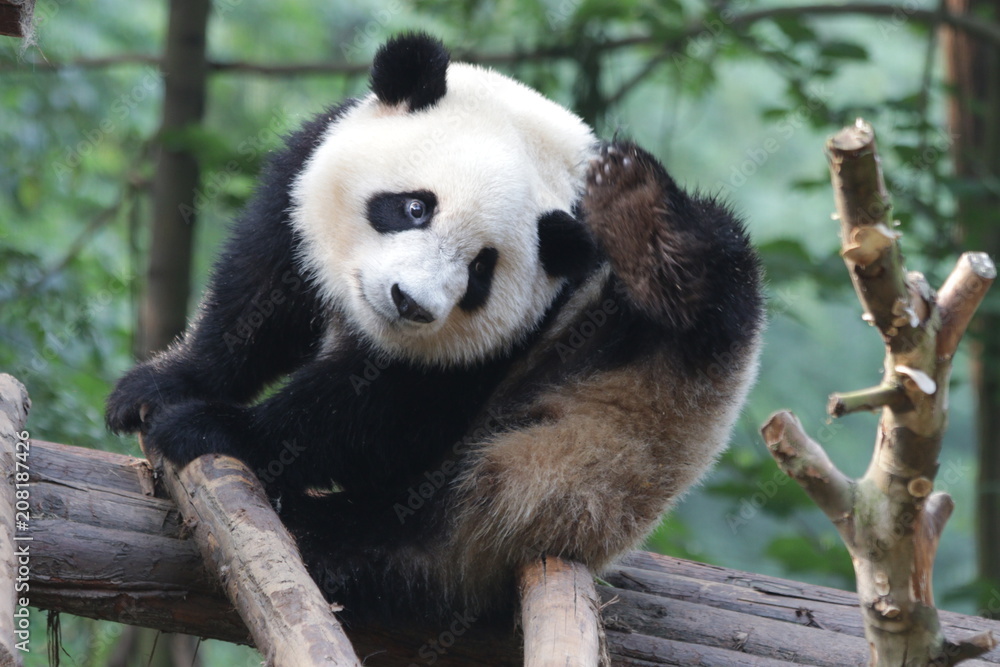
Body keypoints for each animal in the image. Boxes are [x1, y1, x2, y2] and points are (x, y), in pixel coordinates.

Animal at [106, 33, 764, 621]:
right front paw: (158, 387)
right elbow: (262, 298)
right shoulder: (308, 171)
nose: (410, 303)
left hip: (582, 452)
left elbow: (390, 412)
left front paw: (216, 426)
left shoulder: (530, 327)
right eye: (415, 207)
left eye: (480, 270)